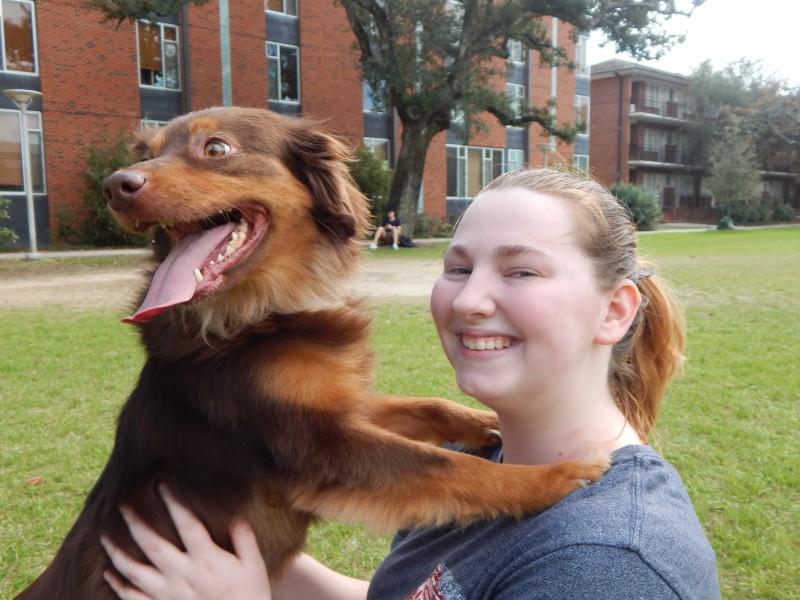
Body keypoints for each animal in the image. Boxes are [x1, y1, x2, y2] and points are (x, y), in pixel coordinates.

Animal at [15, 109, 608, 600]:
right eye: (144, 155)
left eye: (216, 148)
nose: (116, 185)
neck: (260, 317)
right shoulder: (316, 447)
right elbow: (451, 468)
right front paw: (551, 478)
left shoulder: (338, 407)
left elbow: (426, 408)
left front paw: (481, 420)